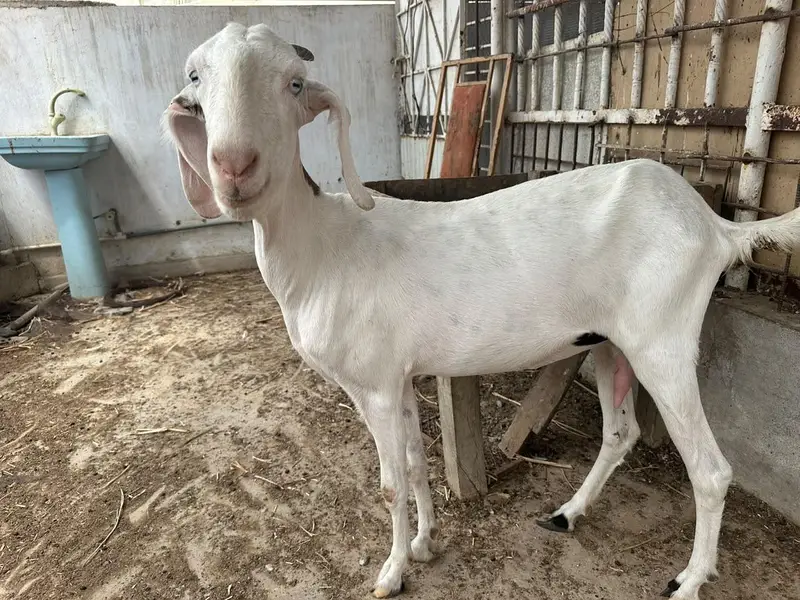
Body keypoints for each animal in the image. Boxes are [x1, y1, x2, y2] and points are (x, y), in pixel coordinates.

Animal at [163, 22, 800, 600]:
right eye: (196, 78)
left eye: (294, 83)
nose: (234, 168)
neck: (323, 248)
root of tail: (716, 227)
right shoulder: (400, 376)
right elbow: (417, 462)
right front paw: (424, 544)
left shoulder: (371, 383)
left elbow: (391, 484)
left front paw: (391, 573)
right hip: (610, 342)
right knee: (621, 433)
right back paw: (567, 513)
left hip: (662, 340)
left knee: (710, 470)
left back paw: (688, 580)